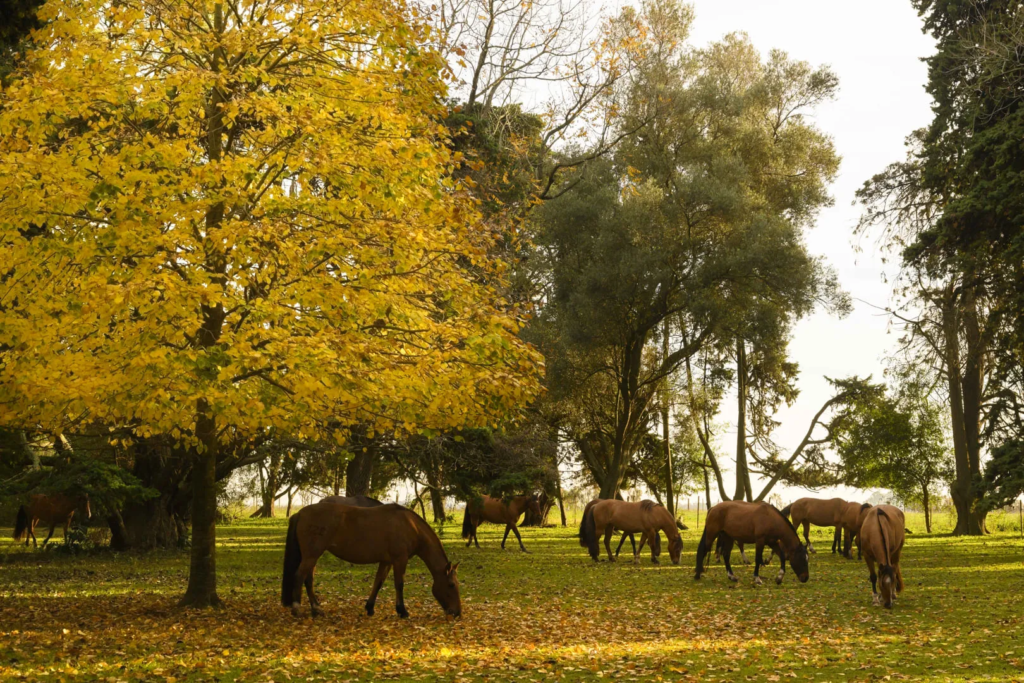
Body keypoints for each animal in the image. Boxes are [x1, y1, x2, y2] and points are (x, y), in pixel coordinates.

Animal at [281, 502, 460, 619]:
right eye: (451, 585)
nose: (457, 613)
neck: (410, 526)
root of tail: (301, 513)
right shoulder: (399, 560)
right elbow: (399, 584)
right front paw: (402, 611)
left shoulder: (386, 561)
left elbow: (378, 582)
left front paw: (370, 608)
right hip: (311, 555)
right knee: (299, 576)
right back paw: (297, 609)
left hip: (312, 557)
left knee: (308, 580)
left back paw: (316, 609)